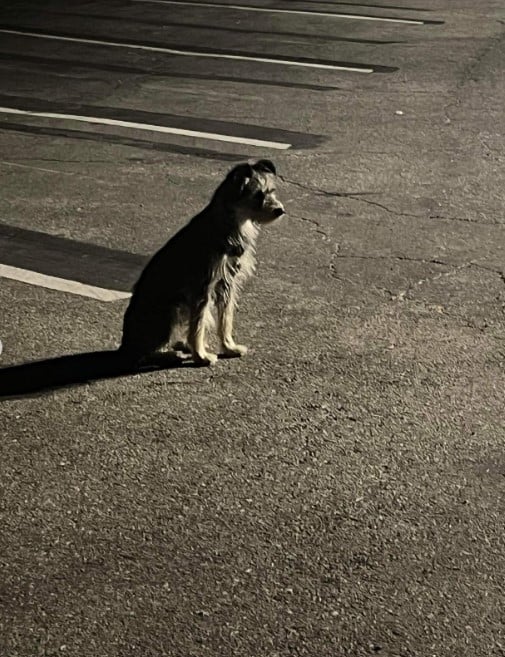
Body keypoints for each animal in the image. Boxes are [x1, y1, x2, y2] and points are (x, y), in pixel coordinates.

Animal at [118, 157, 284, 366]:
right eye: (258, 195)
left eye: (272, 190)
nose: (280, 210)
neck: (232, 223)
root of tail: (124, 346)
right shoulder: (202, 287)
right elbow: (198, 324)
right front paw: (201, 356)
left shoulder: (227, 284)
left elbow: (225, 319)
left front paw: (229, 347)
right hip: (172, 310)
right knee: (146, 353)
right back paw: (172, 353)